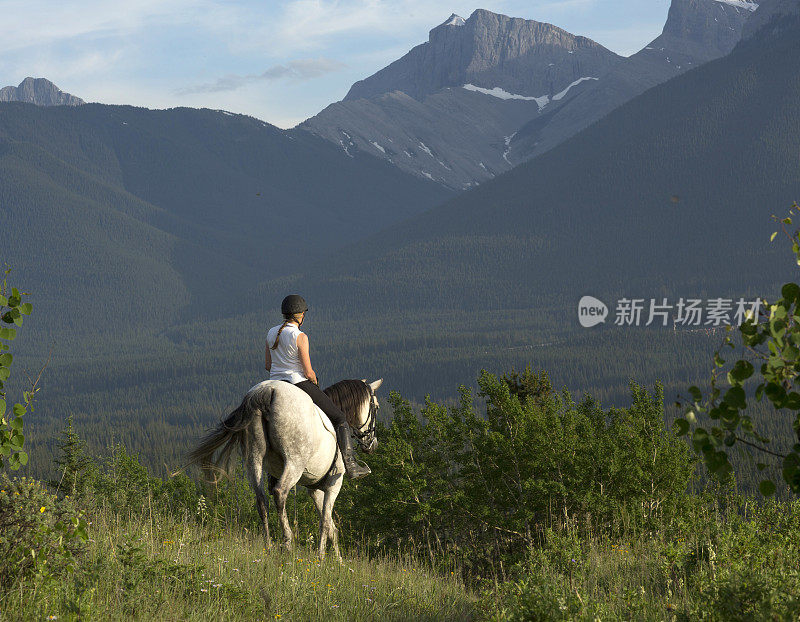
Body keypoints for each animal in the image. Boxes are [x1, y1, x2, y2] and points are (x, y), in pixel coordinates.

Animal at [188, 378, 382, 564]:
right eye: (377, 407)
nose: (372, 445)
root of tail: (266, 391)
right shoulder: (333, 485)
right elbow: (326, 522)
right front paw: (322, 558)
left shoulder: (315, 490)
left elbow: (330, 525)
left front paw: (338, 561)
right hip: (294, 461)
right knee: (280, 492)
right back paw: (287, 543)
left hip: (254, 458)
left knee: (261, 500)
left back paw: (268, 545)